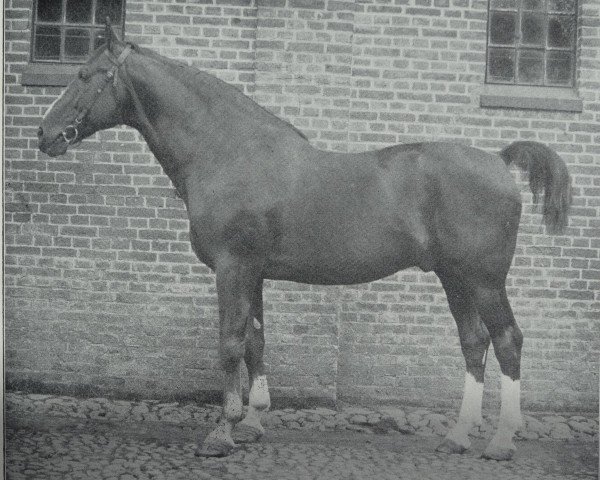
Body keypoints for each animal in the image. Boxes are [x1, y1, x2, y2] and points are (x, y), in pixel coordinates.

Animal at [38, 23, 572, 462]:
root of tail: (499, 160)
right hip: (453, 277)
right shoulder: (252, 273)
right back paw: (457, 437)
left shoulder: (233, 267)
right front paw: (253, 423)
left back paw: (501, 442)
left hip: (485, 280)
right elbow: (256, 341)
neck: (228, 152)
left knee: (507, 341)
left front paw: (221, 433)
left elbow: (230, 344)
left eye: (86, 74)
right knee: (473, 342)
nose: (45, 133)